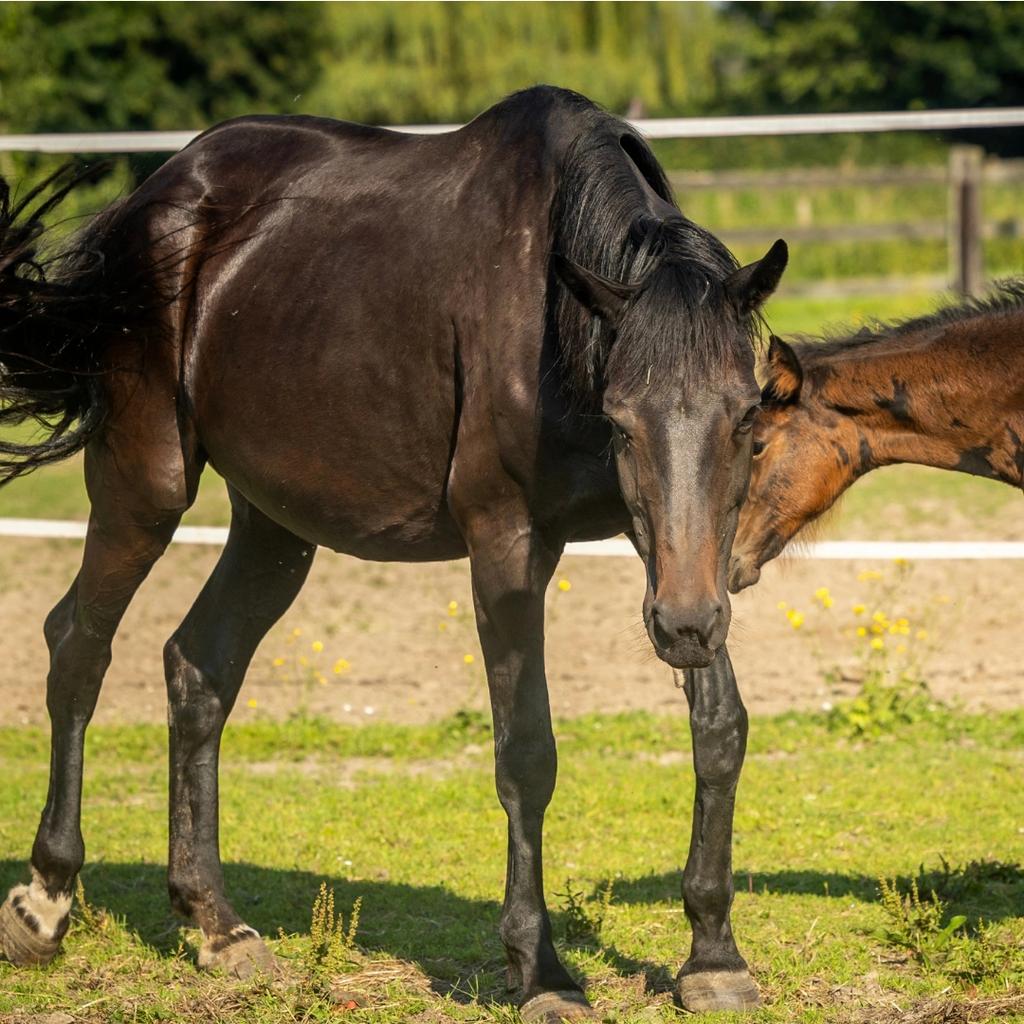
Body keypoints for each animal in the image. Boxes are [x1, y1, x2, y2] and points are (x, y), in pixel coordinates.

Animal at [0, 86, 787, 1020]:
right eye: (622, 420)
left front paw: (714, 956)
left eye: (748, 414)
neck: (552, 320)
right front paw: (542, 970)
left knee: (197, 667)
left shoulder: (668, 555)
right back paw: (44, 903)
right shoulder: (508, 544)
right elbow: (526, 753)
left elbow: (721, 727)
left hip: (277, 527)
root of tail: (154, 198)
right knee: (78, 649)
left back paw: (217, 925)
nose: (685, 626)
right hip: (143, 486)